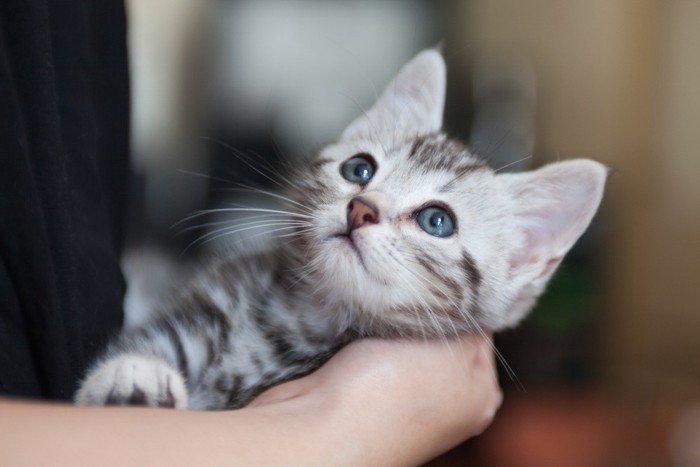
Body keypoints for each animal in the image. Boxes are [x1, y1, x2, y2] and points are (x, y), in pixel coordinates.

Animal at [72, 49, 608, 412]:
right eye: (359, 169)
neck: (304, 317)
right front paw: (134, 375)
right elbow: (155, 340)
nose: (360, 209)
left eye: (437, 221)